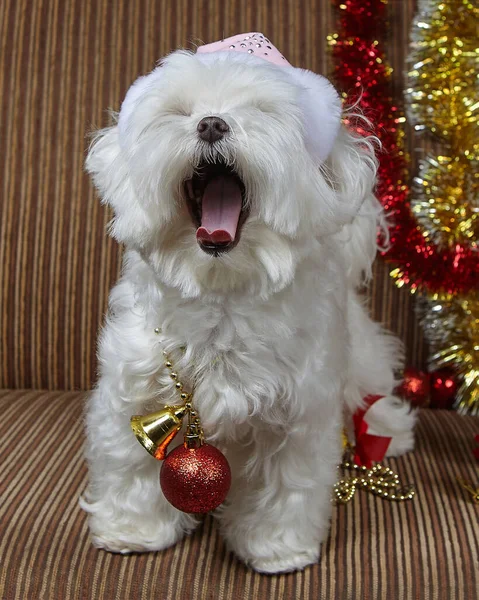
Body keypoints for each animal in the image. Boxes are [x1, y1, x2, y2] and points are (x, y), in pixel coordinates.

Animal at [79, 34, 416, 576]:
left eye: (261, 110)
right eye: (181, 111)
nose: (212, 123)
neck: (221, 292)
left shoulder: (299, 414)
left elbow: (286, 486)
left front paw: (276, 549)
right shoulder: (133, 391)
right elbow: (129, 466)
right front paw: (133, 530)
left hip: (362, 359)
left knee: (373, 395)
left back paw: (389, 430)